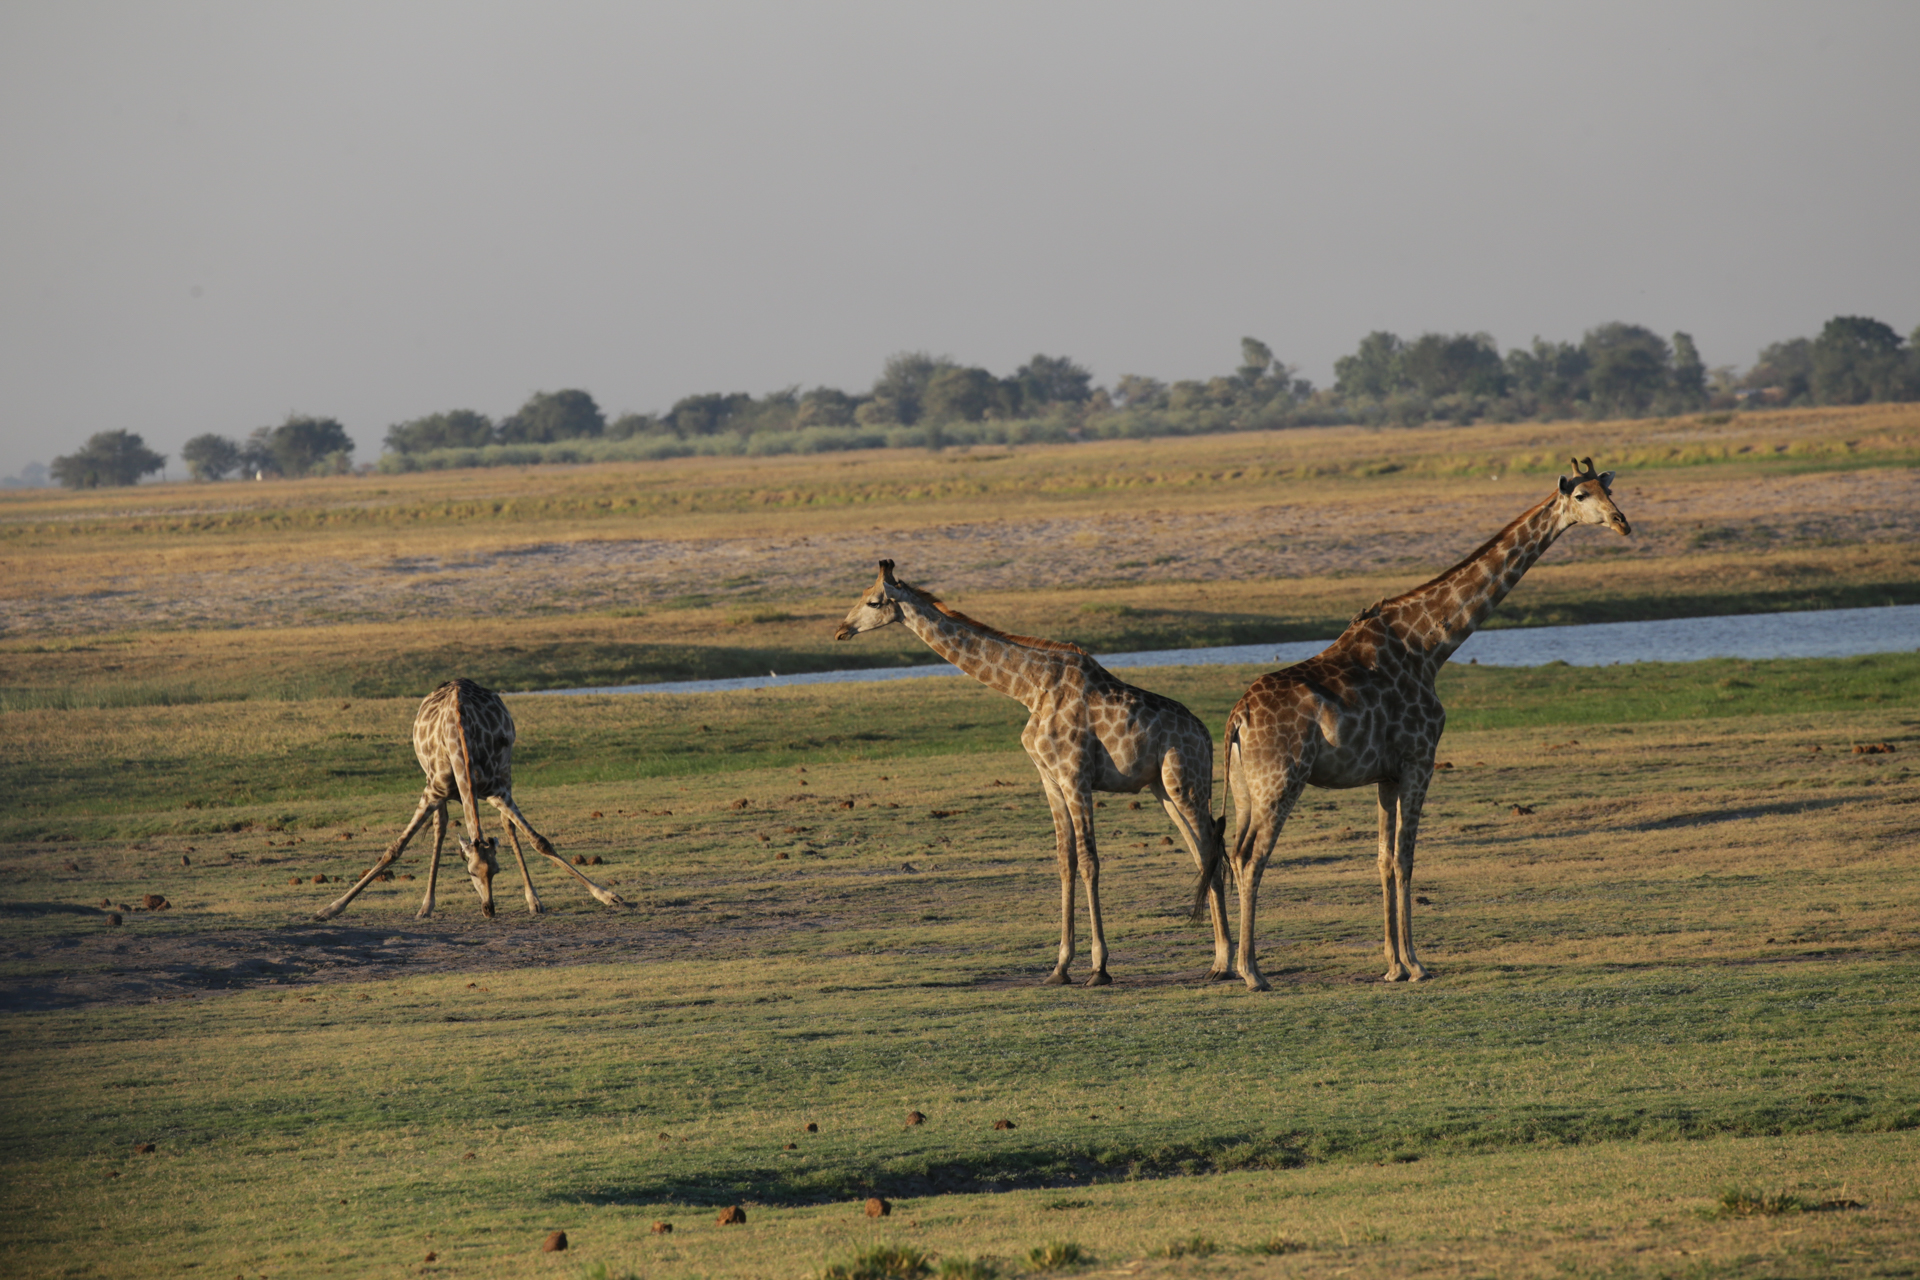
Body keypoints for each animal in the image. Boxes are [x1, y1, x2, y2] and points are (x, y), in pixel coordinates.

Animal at [312, 679, 629, 921]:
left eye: (496, 871)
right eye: (471, 873)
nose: (489, 909)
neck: (459, 739)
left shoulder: (497, 789)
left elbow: (540, 841)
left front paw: (608, 895)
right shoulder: (432, 791)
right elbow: (394, 849)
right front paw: (329, 909)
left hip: (505, 772)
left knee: (507, 826)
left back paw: (533, 901)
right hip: (435, 784)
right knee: (440, 827)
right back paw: (426, 906)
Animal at [837, 556, 1228, 990]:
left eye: (872, 601)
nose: (841, 629)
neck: (1028, 688)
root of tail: (1206, 736)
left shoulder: (1075, 776)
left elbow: (1089, 861)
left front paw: (1099, 968)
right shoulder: (1050, 779)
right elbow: (1064, 861)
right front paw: (1059, 967)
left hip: (1186, 784)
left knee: (1213, 854)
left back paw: (1224, 964)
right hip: (1165, 789)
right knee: (1203, 855)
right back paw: (1217, 962)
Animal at [1205, 458, 1628, 990]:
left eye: (1610, 490)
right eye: (1581, 496)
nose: (1622, 522)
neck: (1431, 646)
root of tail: (1236, 719)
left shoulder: (1385, 773)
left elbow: (1384, 859)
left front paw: (1392, 965)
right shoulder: (1419, 758)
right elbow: (1406, 857)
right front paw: (1417, 965)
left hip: (1245, 788)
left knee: (1231, 852)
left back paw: (1241, 964)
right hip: (1281, 781)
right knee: (1251, 857)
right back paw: (1252, 971)